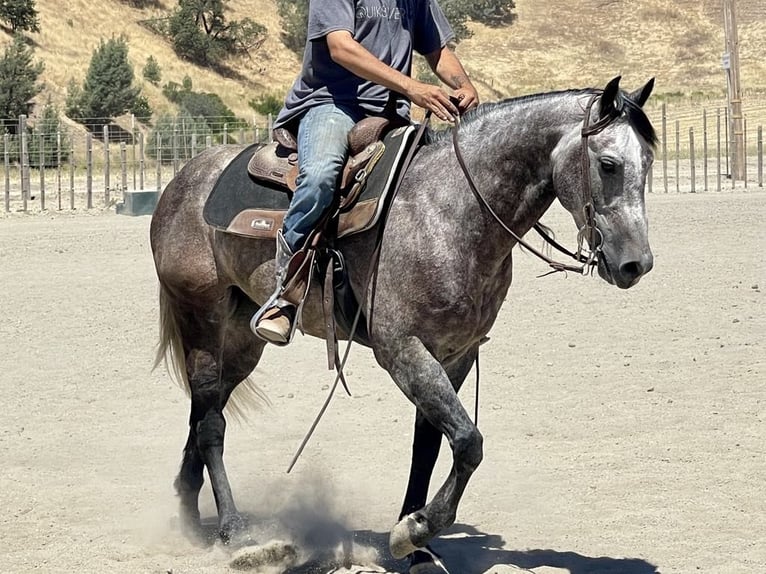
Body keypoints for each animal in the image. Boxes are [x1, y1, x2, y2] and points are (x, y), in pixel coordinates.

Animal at [150, 76, 660, 572]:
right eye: (609, 164)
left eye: (649, 161)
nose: (637, 264)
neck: (450, 210)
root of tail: (183, 180)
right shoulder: (401, 350)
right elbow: (469, 441)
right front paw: (412, 531)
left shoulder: (456, 354)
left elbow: (430, 446)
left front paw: (418, 547)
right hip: (201, 317)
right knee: (211, 424)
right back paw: (237, 534)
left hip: (240, 339)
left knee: (204, 410)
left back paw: (190, 517)